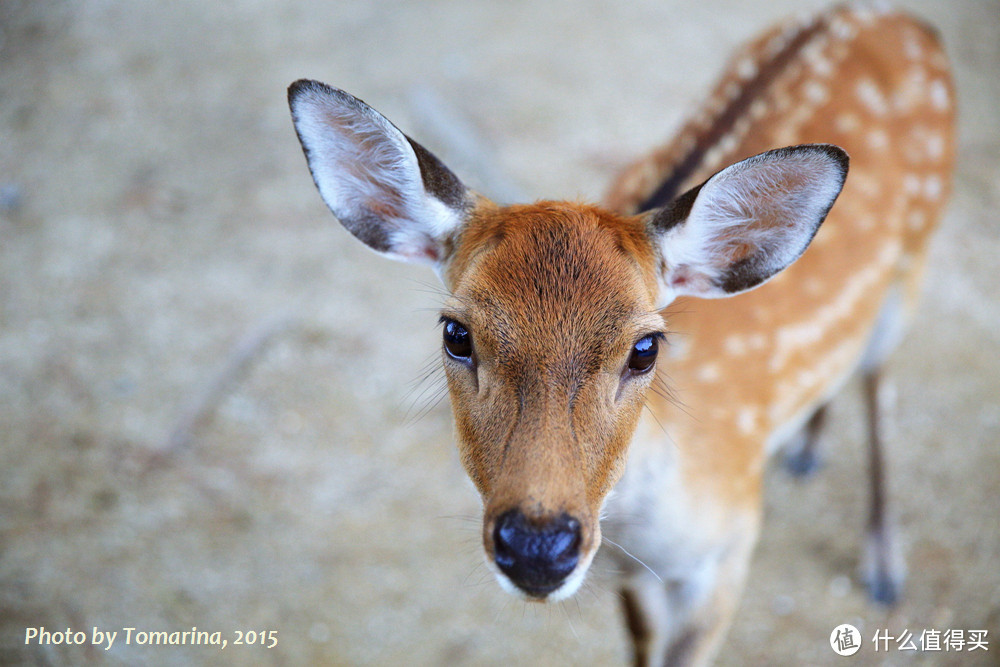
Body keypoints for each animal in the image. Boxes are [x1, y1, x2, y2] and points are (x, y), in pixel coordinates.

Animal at [288, 2, 952, 664]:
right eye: (457, 333)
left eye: (645, 348)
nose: (537, 549)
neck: (644, 525)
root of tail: (898, 18)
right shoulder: (630, 573)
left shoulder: (734, 541)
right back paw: (807, 450)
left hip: (913, 263)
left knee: (880, 384)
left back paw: (884, 565)